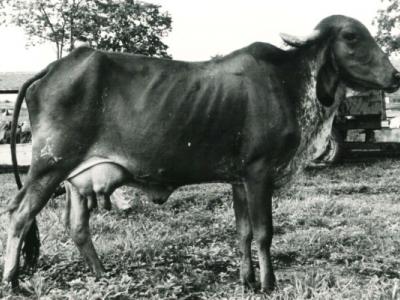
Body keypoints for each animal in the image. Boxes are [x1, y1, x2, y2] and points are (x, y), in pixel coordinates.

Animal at [3, 15, 400, 292]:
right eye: (351, 37)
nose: (395, 76)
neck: (291, 82)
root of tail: (56, 66)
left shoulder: (239, 179)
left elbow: (243, 232)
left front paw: (247, 280)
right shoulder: (258, 173)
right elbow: (263, 232)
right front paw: (268, 284)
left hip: (75, 177)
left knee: (76, 225)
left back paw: (102, 273)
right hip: (50, 165)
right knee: (20, 214)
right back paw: (13, 280)